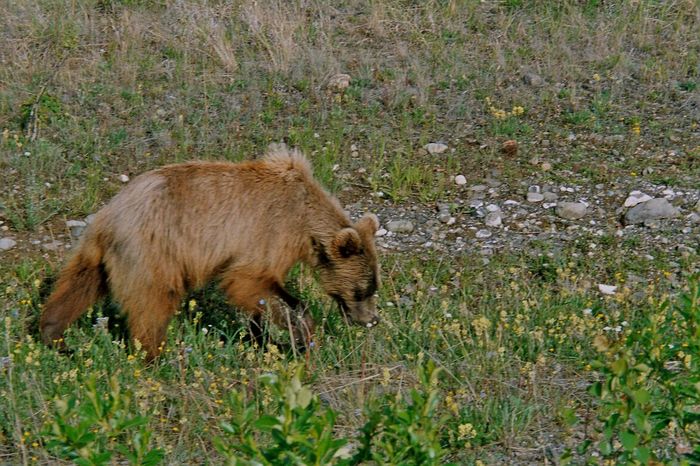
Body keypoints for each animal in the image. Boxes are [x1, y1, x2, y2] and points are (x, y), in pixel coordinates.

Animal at [41, 147, 380, 358]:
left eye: (372, 287)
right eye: (361, 290)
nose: (370, 320)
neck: (305, 220)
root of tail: (111, 214)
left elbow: (257, 298)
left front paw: (263, 339)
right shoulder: (270, 233)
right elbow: (251, 281)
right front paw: (302, 339)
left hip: (98, 253)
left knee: (76, 287)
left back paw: (55, 337)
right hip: (154, 250)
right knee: (152, 302)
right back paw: (155, 355)